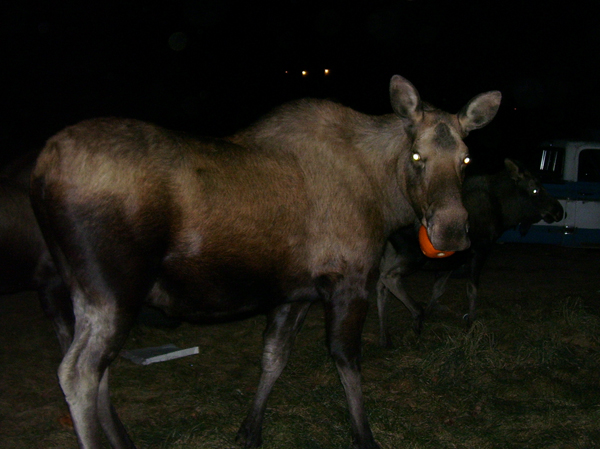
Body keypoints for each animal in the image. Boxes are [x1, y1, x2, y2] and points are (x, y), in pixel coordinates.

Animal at [29, 75, 502, 446]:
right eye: (418, 156)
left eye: (466, 158)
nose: (452, 230)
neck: (384, 200)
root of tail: (41, 171)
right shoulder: (350, 280)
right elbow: (347, 361)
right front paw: (364, 436)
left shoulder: (297, 293)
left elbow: (274, 357)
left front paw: (249, 430)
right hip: (113, 287)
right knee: (78, 372)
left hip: (87, 289)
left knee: (97, 370)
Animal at [378, 158, 564, 346]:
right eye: (535, 189)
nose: (559, 211)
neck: (503, 213)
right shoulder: (479, 249)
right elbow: (472, 290)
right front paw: (471, 326)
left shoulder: (453, 259)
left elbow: (438, 289)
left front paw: (431, 314)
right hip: (413, 254)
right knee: (389, 277)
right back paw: (416, 315)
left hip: (390, 252)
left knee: (381, 286)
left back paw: (386, 336)